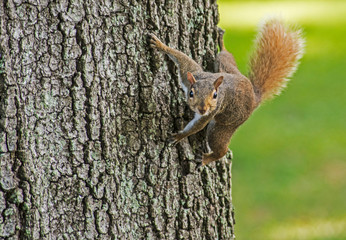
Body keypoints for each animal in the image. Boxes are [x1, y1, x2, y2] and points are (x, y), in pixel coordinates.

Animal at [149, 17, 302, 167]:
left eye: (215, 95)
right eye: (191, 93)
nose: (203, 109)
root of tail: (254, 98)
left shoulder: (212, 111)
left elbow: (197, 126)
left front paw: (179, 136)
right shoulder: (193, 75)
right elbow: (183, 60)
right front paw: (160, 45)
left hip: (222, 127)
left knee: (221, 149)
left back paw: (205, 159)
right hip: (226, 67)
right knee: (225, 57)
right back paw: (222, 44)